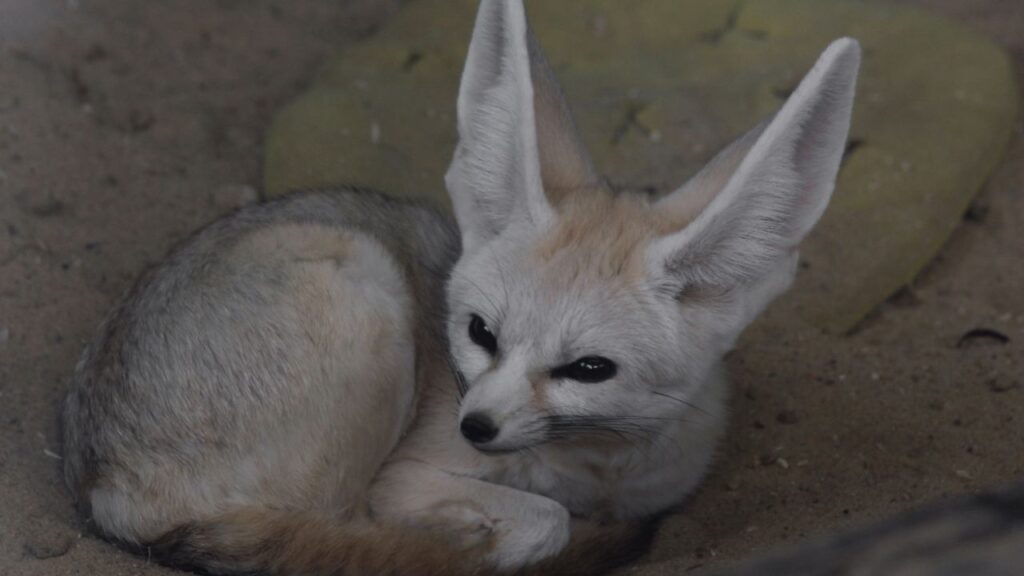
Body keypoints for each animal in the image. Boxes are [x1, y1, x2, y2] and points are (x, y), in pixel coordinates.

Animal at [60, 0, 861, 574]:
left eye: (588, 369)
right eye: (481, 333)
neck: (596, 469)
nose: (474, 425)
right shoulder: (401, 479)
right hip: (364, 287)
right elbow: (540, 522)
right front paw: (488, 540)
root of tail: (102, 481)